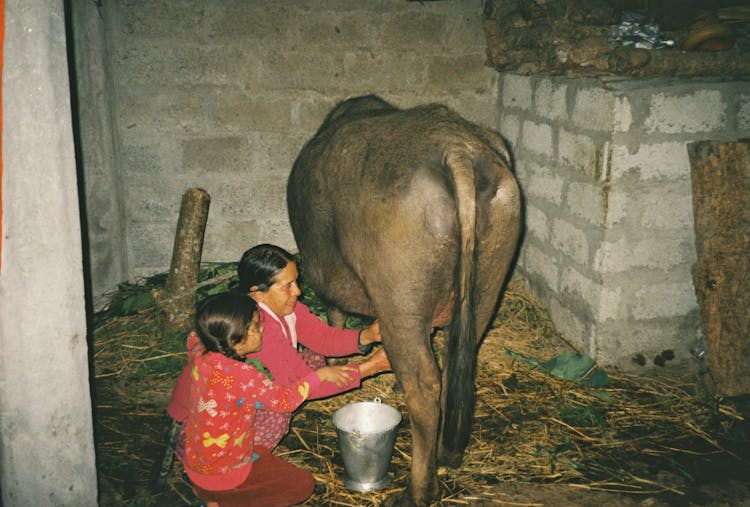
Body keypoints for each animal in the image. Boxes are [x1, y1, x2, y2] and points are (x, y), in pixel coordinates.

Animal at [288, 96, 524, 507]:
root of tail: (457, 146)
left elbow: (334, 317)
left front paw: (335, 363)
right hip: (486, 286)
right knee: (456, 366)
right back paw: (447, 455)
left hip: (400, 300)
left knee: (424, 385)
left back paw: (417, 490)